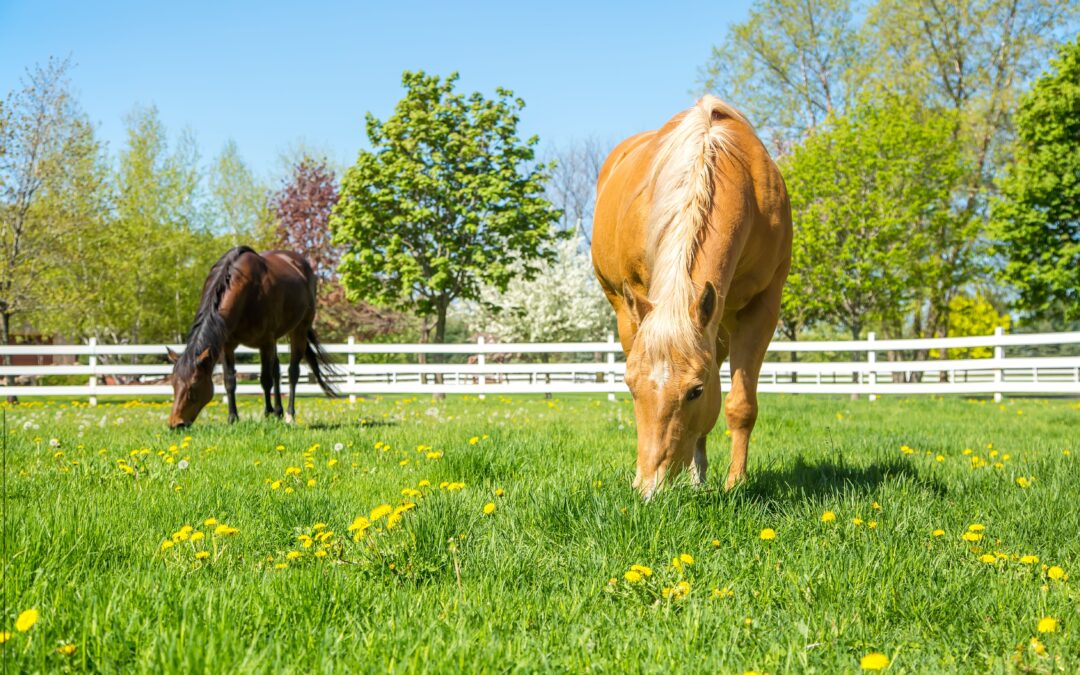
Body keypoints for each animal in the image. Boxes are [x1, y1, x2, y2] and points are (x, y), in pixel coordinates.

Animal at [166, 246, 338, 429]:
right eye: (173, 384)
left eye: (193, 386)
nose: (175, 424)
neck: (246, 290)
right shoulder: (227, 346)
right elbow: (229, 381)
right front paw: (233, 418)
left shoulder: (265, 342)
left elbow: (265, 380)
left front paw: (267, 414)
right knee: (277, 370)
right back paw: (278, 412)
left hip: (299, 330)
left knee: (292, 372)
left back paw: (289, 415)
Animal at [592, 96, 792, 498]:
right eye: (629, 387)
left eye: (695, 391)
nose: (649, 490)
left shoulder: (763, 307)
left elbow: (740, 405)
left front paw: (735, 483)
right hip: (624, 309)